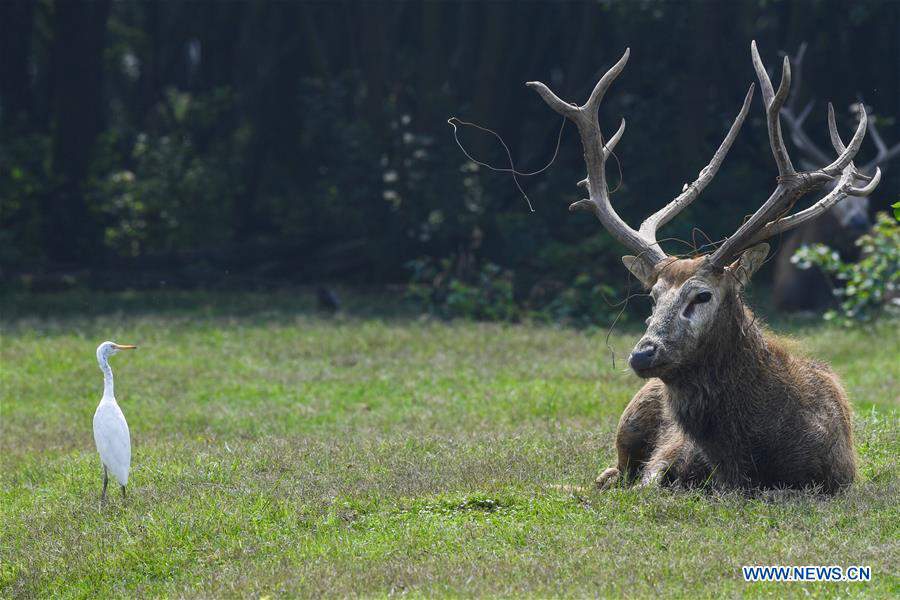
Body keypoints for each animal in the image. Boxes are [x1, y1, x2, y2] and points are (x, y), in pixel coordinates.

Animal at [524, 42, 884, 492]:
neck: (748, 461)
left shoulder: (836, 477)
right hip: (632, 415)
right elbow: (648, 483)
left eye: (702, 295)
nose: (642, 354)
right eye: (653, 297)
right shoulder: (666, 457)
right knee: (613, 469)